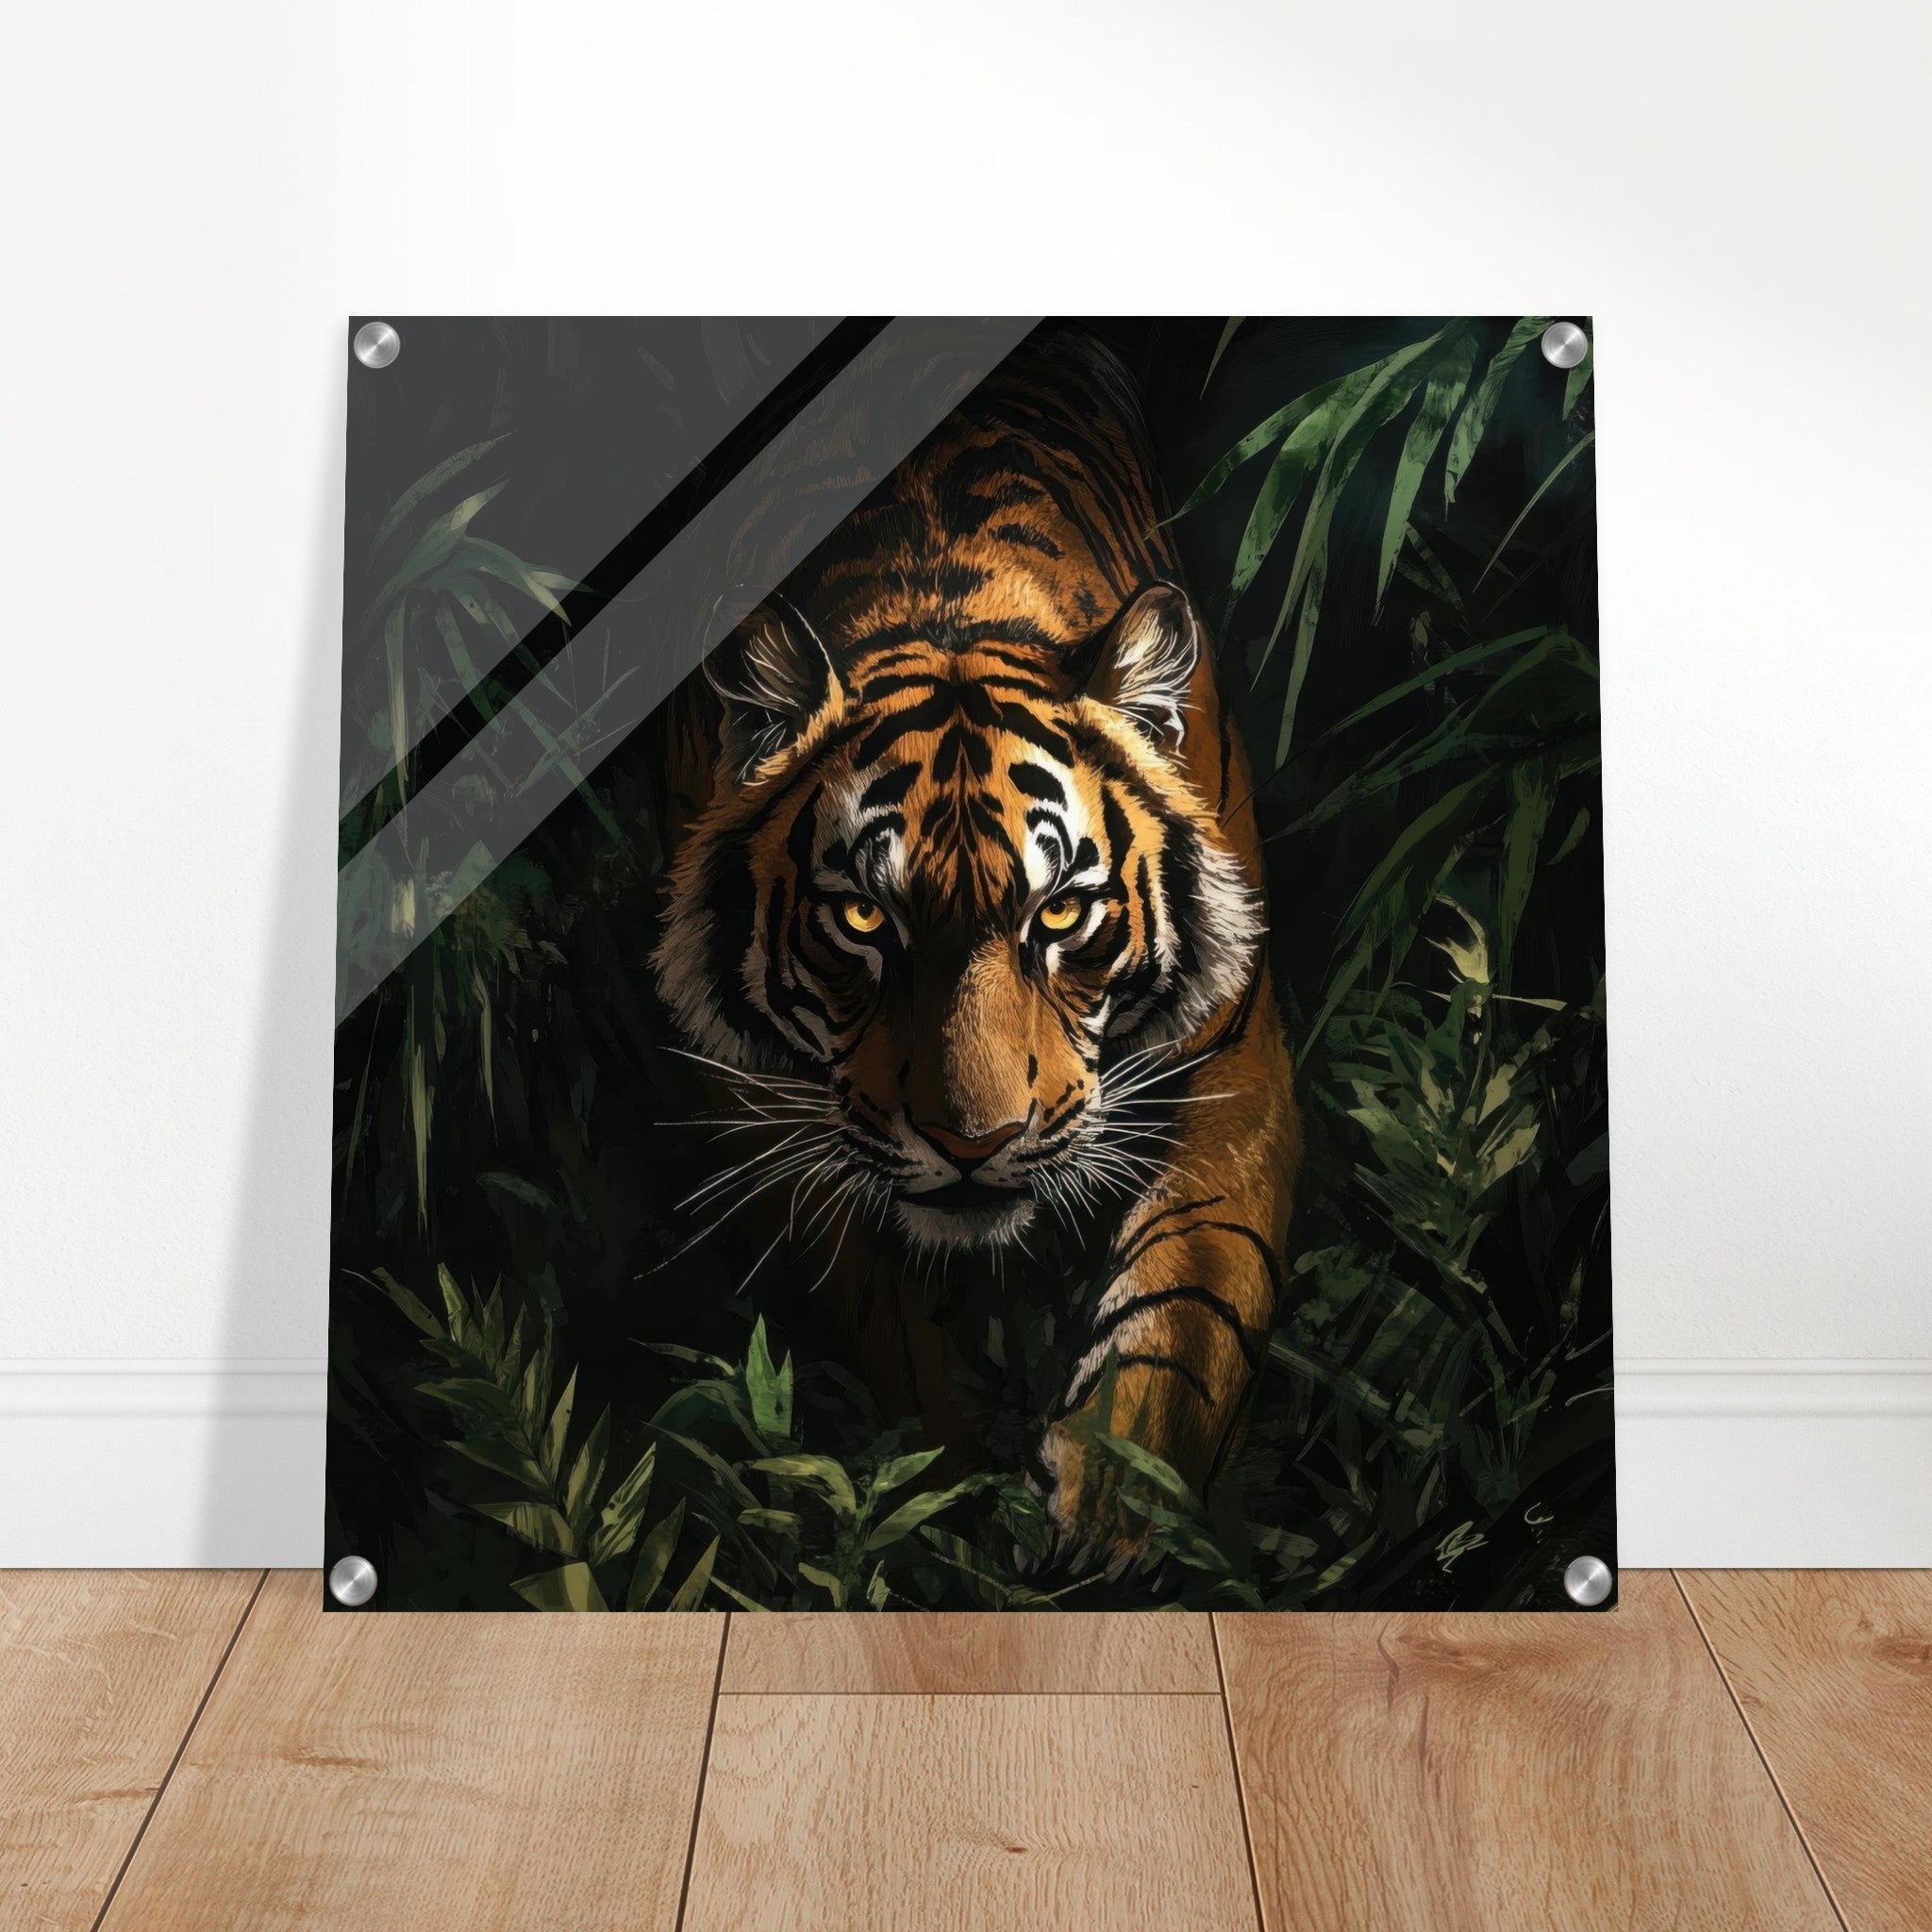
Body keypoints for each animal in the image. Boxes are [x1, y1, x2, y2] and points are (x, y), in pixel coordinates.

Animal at [652, 326, 1302, 1572]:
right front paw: (942, 1510)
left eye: (1058, 916)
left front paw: (1110, 1511)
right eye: (864, 921)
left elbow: (1184, 1316)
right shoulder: (771, 1114)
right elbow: (900, 1341)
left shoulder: (1229, 1072)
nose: (973, 1144)